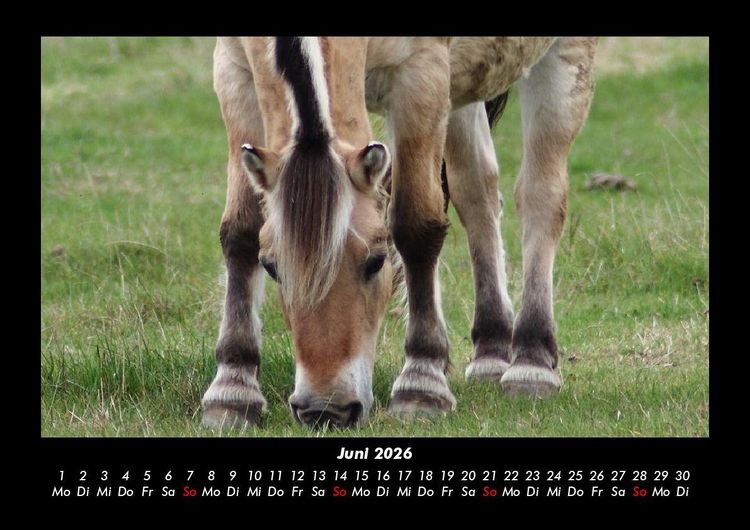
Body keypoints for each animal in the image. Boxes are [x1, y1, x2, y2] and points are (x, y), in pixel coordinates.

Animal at [201, 37, 597, 429]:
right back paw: (491, 351)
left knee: (540, 198)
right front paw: (233, 390)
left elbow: (416, 228)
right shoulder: (233, 72)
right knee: (477, 191)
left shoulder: (422, 75)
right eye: (271, 267)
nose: (326, 410)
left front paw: (422, 383)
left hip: (564, 62)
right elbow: (241, 231)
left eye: (376, 261)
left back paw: (532, 362)